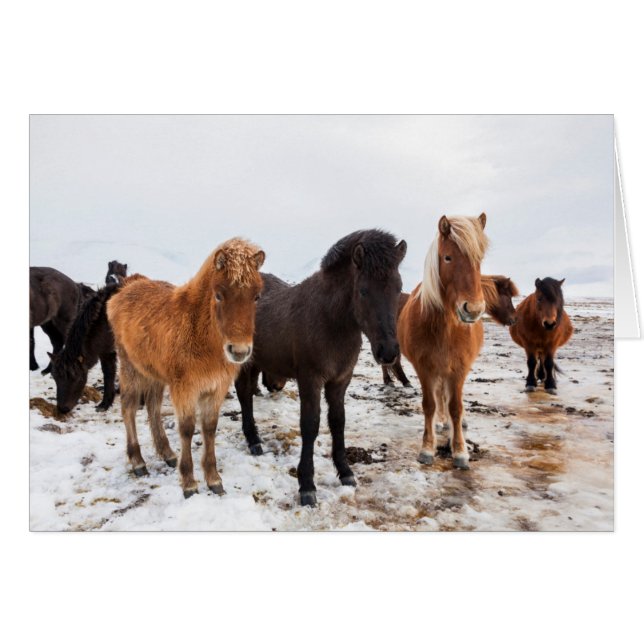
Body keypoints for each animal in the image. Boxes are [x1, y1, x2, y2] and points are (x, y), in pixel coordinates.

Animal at [49, 283, 121, 413]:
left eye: (77, 377)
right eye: (55, 378)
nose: (63, 409)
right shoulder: (106, 352)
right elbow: (108, 374)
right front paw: (105, 403)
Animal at [107, 239, 265, 498]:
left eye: (256, 296)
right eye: (219, 294)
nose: (239, 351)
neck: (199, 332)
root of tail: (128, 286)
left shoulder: (216, 388)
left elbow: (209, 428)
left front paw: (213, 479)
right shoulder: (185, 389)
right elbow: (188, 429)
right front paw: (189, 482)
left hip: (155, 374)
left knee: (153, 407)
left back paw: (167, 454)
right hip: (130, 368)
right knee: (128, 408)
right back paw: (138, 462)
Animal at [234, 229, 407, 507]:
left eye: (398, 288)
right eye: (363, 291)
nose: (388, 352)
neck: (330, 320)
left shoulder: (340, 380)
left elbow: (338, 422)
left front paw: (345, 472)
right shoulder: (310, 379)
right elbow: (310, 425)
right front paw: (307, 485)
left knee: (249, 391)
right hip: (245, 362)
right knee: (243, 394)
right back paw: (254, 441)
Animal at [397, 213, 489, 469]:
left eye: (479, 259)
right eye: (448, 257)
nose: (473, 309)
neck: (446, 329)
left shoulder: (458, 368)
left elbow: (455, 407)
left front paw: (460, 451)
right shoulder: (425, 368)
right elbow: (429, 404)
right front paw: (427, 448)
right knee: (439, 397)